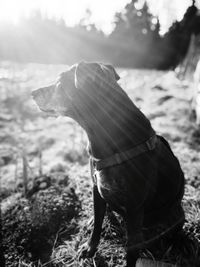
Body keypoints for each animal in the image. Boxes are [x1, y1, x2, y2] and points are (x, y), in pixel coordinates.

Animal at [31, 62, 184, 266]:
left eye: (61, 80)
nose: (32, 93)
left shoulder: (135, 211)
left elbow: (131, 251)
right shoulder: (96, 188)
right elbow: (97, 222)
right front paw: (89, 248)